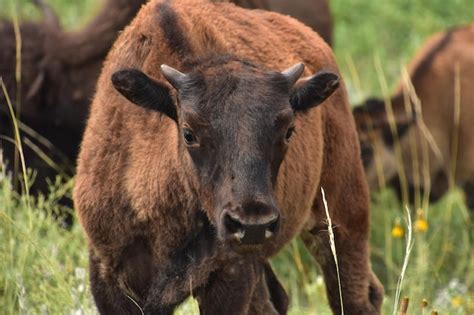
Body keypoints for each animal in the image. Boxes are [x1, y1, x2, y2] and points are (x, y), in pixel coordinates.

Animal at [75, 0, 386, 314]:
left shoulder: (230, 274)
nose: (252, 224)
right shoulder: (107, 274)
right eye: (189, 133)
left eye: (289, 130)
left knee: (353, 293)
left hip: (342, 218)